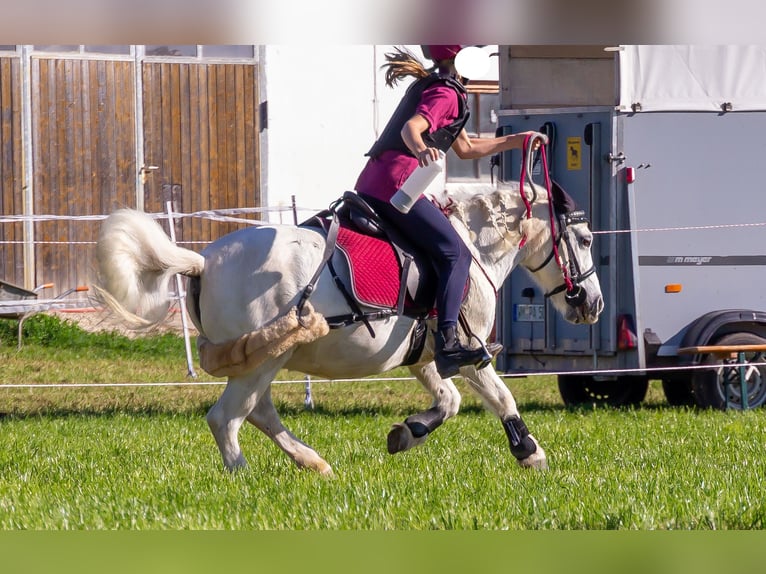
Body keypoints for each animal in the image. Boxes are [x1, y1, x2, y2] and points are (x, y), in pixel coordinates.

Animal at [96, 176, 604, 476]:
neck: (469, 247)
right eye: (583, 239)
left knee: (258, 413)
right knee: (228, 418)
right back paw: (242, 476)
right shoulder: (467, 350)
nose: (593, 304)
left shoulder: (423, 356)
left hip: (265, 360)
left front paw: (407, 432)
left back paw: (313, 462)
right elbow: (501, 398)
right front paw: (529, 451)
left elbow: (449, 401)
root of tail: (202, 261)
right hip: (264, 360)